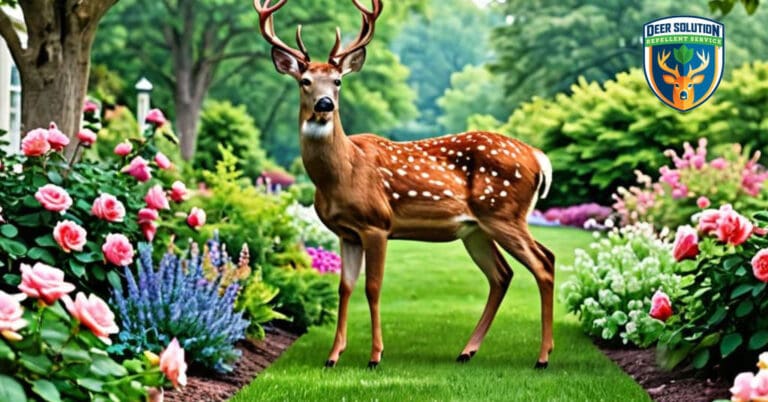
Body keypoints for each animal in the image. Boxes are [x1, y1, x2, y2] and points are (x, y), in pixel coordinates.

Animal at [253, 0, 556, 369]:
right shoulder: (346, 233)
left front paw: (375, 356)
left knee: (544, 263)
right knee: (503, 275)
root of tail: (538, 157)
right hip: (477, 229)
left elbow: (373, 287)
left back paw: (542, 357)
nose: (325, 104)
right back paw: (467, 351)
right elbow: (345, 288)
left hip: (504, 212)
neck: (342, 174)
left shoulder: (377, 223)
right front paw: (333, 356)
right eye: (305, 81)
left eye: (338, 81)